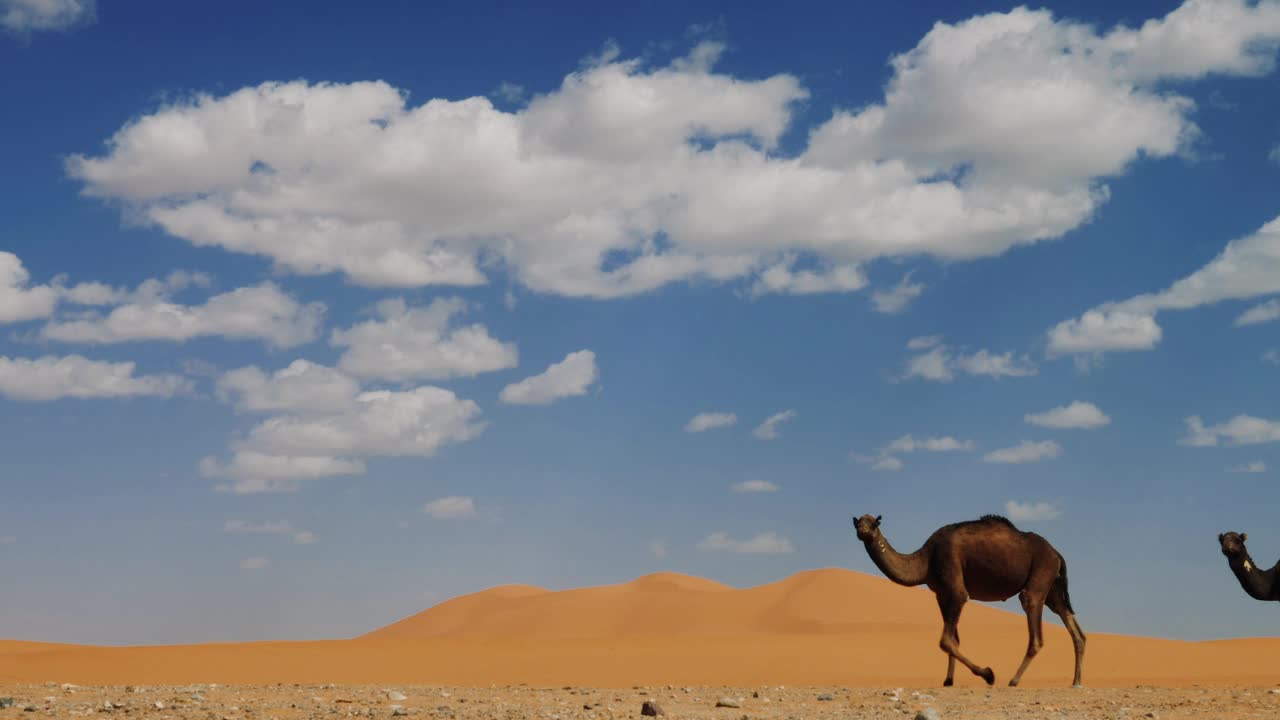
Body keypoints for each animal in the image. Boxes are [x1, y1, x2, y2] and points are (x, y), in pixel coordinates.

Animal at [855, 509, 1085, 681]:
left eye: (874, 524)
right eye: (857, 524)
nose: (862, 531)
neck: (926, 559)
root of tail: (1057, 553)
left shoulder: (956, 588)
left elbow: (946, 640)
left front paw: (988, 675)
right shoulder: (941, 594)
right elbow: (954, 639)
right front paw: (948, 681)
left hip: (1041, 571)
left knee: (1034, 621)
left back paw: (1014, 680)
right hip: (1052, 587)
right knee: (1069, 619)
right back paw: (1076, 682)